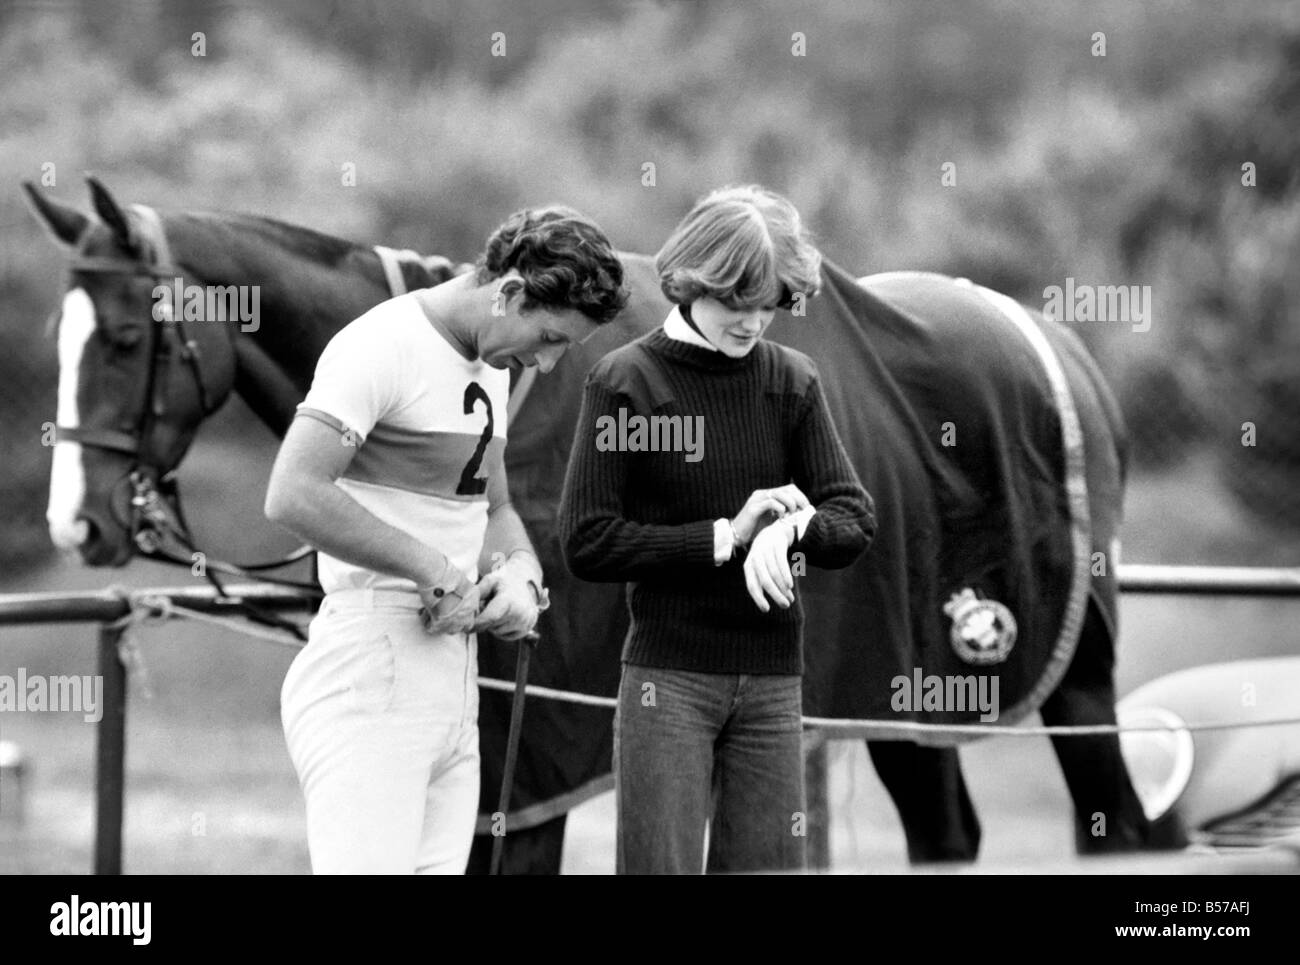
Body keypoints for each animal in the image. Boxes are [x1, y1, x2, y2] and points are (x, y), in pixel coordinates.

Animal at [22, 178, 1180, 873]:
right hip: (904, 691)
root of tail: (1053, 345)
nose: (80, 521)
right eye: (61, 333)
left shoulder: (532, 761)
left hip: (1066, 672)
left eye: (122, 338)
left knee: (1120, 820)